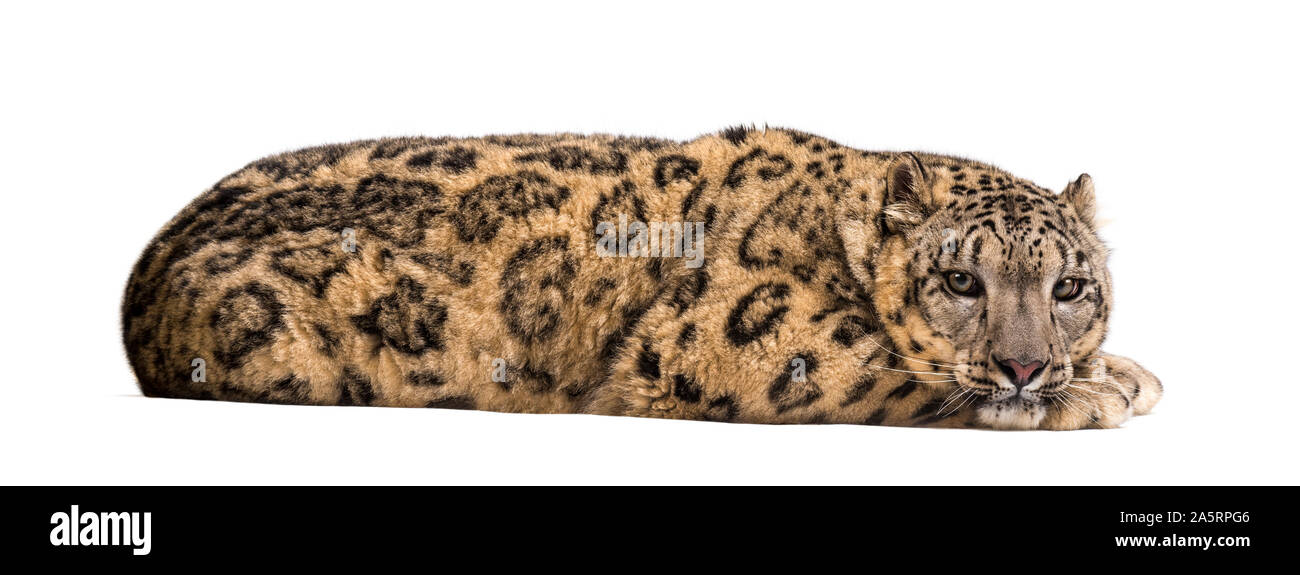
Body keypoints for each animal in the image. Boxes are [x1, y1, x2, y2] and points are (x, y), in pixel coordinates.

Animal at [121, 126, 1162, 430]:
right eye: (961, 282)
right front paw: (1094, 395)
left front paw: (1123, 371)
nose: (1027, 365)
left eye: (1070, 289)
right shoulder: (752, 335)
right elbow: (895, 371)